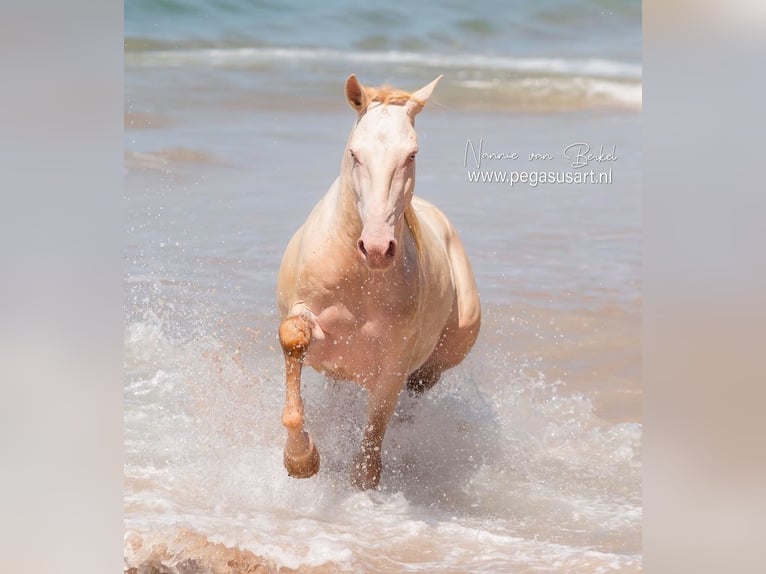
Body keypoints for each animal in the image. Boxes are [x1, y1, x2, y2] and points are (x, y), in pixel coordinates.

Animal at [276, 75, 480, 490]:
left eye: (412, 154)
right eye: (355, 153)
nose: (376, 247)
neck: (358, 279)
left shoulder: (393, 365)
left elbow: (368, 458)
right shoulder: (313, 326)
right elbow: (293, 339)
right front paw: (301, 460)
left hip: (433, 364)